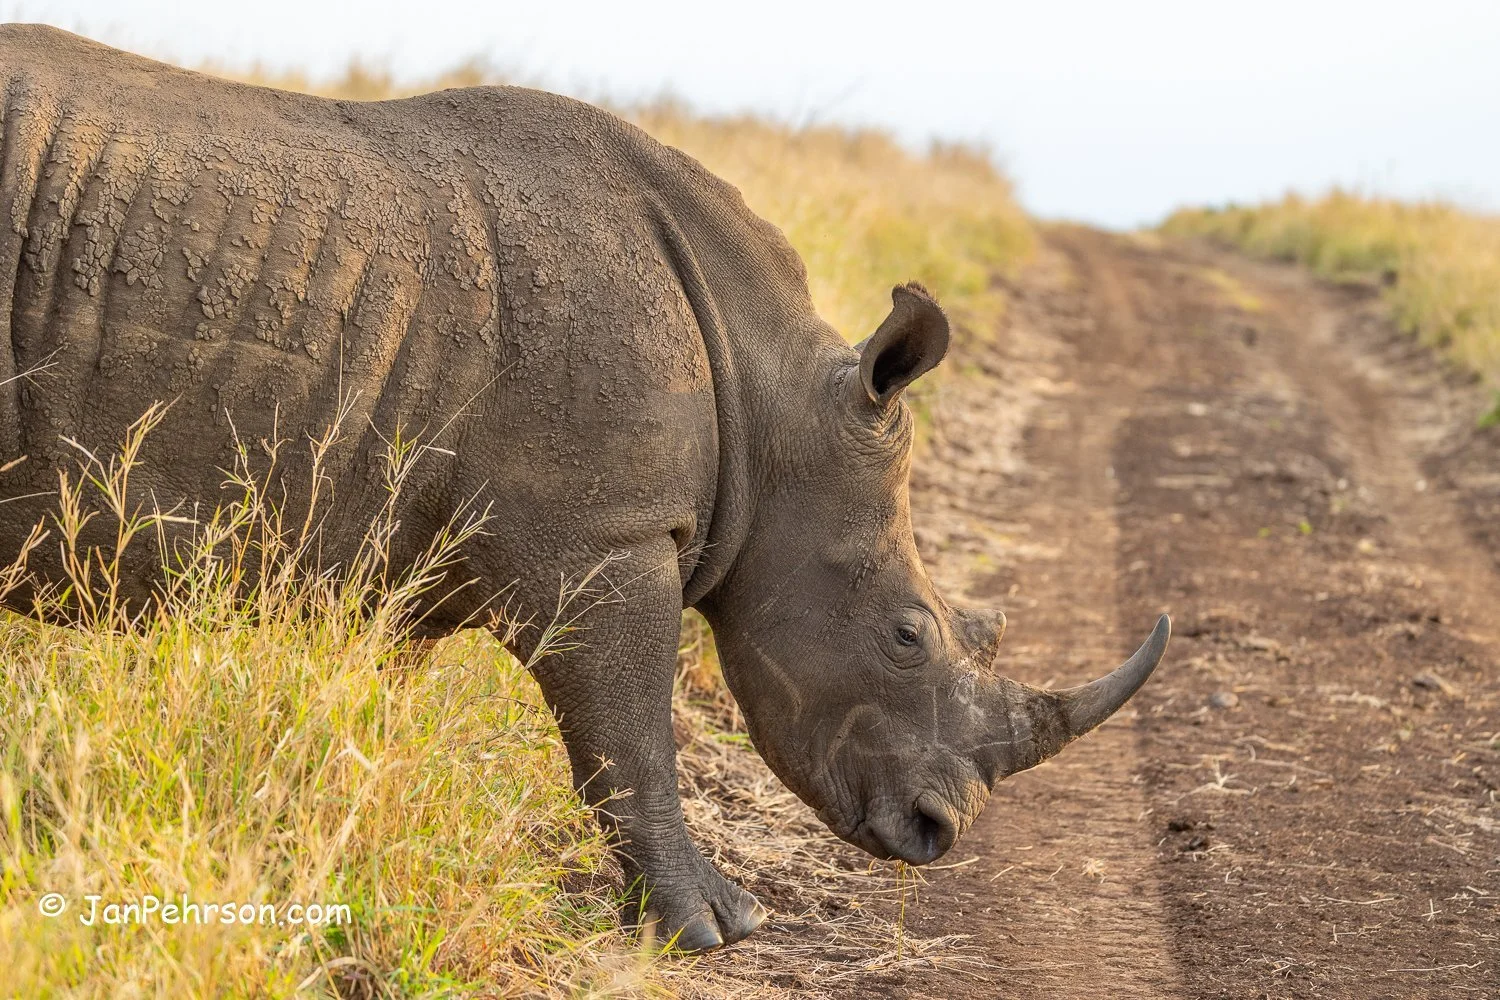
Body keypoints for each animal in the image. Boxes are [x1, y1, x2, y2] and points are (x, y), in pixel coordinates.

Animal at [0, 25, 1169, 950]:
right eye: (908, 635)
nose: (940, 830)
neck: (773, 404)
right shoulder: (601, 538)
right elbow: (632, 730)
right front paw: (714, 927)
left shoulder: (406, 545)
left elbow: (380, 711)